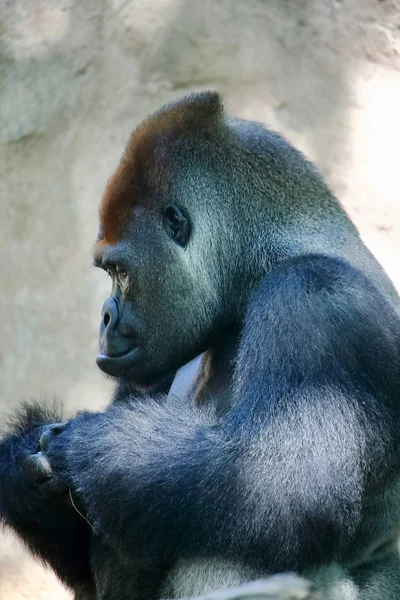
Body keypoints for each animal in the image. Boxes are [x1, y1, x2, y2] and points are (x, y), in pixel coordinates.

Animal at [0, 92, 400, 600]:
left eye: (120, 272)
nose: (105, 316)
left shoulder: (314, 296)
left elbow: (284, 487)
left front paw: (91, 447)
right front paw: (22, 474)